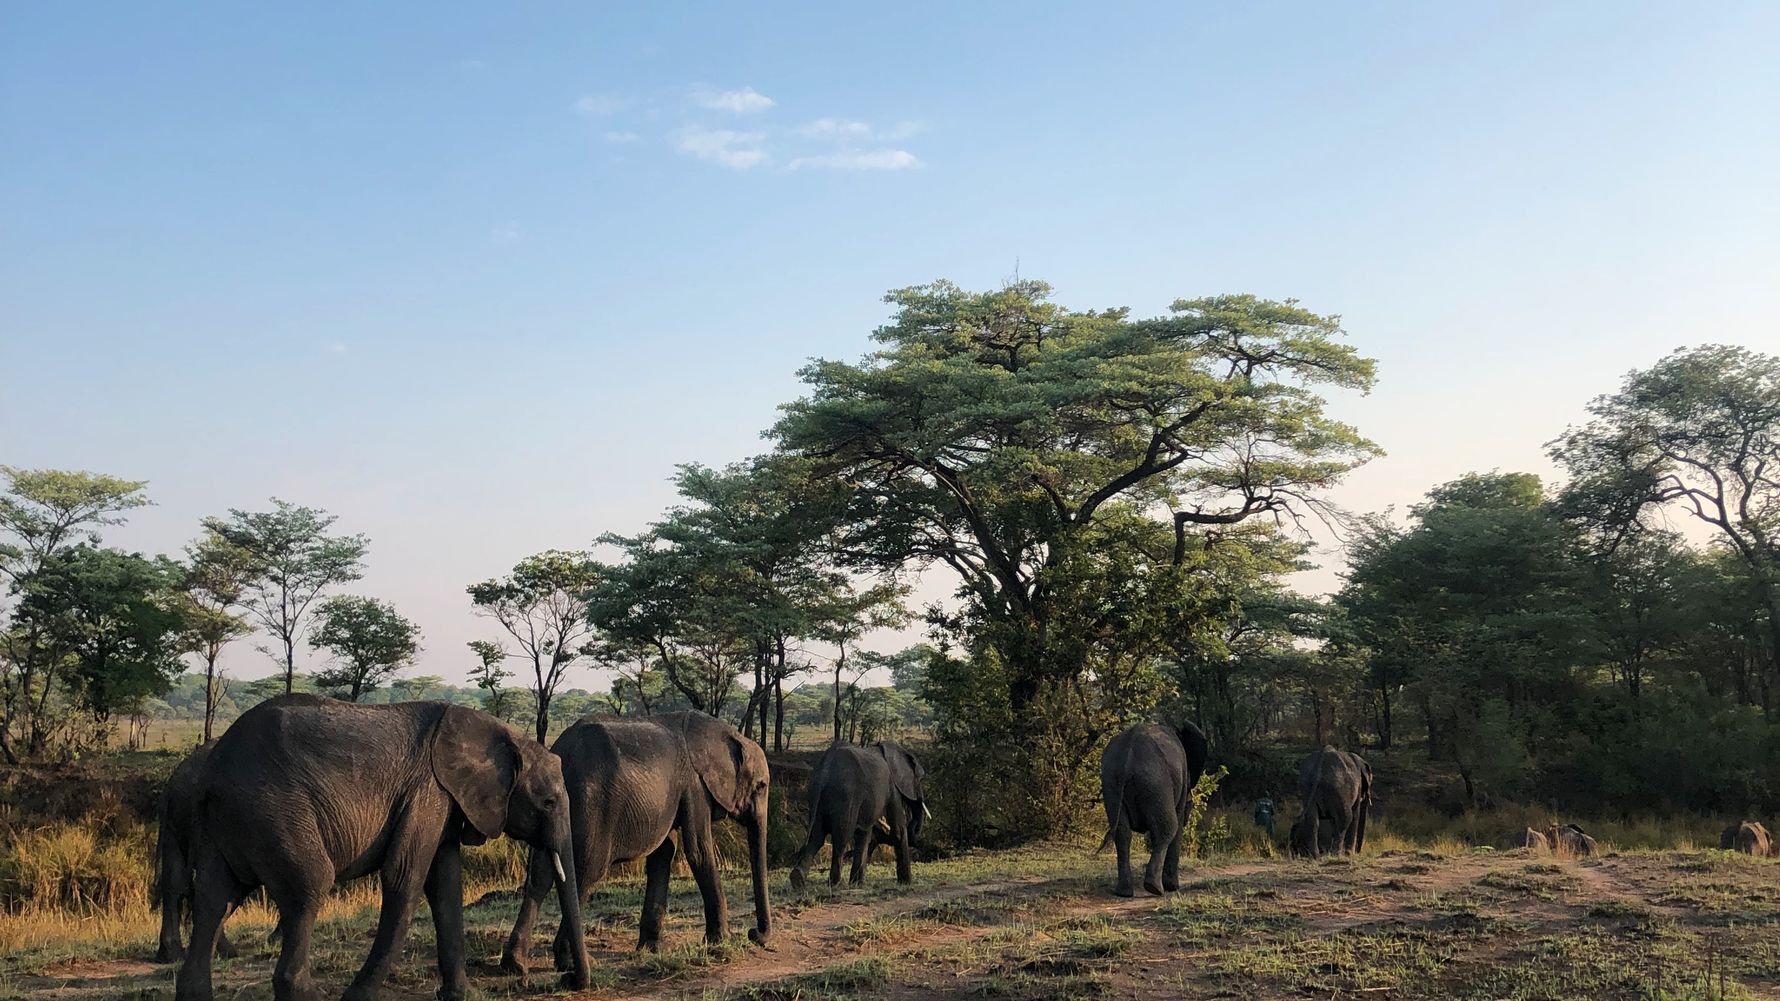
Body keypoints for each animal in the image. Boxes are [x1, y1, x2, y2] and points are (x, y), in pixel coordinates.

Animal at [174, 695, 587, 1001]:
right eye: (549, 802)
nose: (568, 979)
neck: (499, 733)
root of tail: (211, 769)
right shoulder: (428, 793)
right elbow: (405, 878)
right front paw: (357, 998)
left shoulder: (445, 801)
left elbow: (446, 885)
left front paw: (462, 996)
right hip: (272, 811)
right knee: (309, 886)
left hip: (229, 822)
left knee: (214, 898)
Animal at [500, 711, 771, 977]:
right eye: (761, 786)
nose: (754, 934)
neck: (726, 734)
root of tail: (563, 750)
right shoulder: (695, 786)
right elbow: (698, 850)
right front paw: (724, 941)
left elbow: (664, 853)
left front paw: (652, 950)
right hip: (592, 805)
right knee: (586, 874)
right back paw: (571, 963)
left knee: (541, 876)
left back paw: (516, 965)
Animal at [789, 740, 928, 889]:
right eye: (920, 779)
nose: (914, 825)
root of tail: (824, 772)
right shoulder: (892, 787)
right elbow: (898, 830)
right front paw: (906, 883)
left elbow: (864, 833)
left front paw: (857, 884)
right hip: (845, 796)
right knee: (841, 838)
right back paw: (834, 883)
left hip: (816, 795)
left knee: (817, 837)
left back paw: (797, 879)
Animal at [1098, 721, 1210, 897]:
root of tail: (1128, 753)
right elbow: (1178, 824)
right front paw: (1173, 887)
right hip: (1157, 782)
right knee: (1168, 828)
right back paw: (1156, 889)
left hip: (1111, 781)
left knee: (1122, 833)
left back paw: (1124, 892)